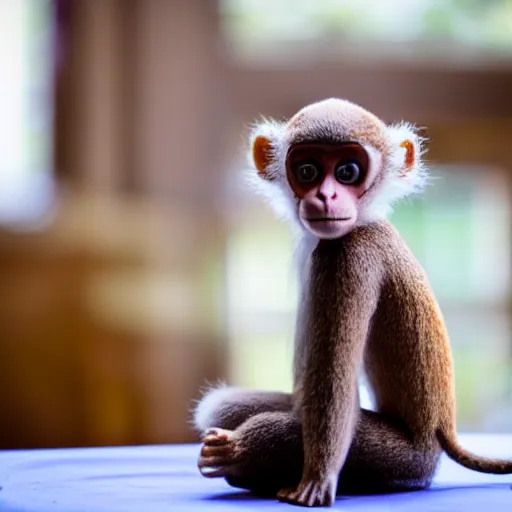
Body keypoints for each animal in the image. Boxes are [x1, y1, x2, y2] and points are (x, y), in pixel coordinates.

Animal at [191, 98, 512, 506]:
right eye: (308, 171)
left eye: (347, 172)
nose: (325, 196)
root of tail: (444, 437)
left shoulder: (347, 254)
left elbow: (333, 382)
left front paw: (317, 476)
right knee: (221, 407)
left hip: (404, 459)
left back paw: (240, 456)